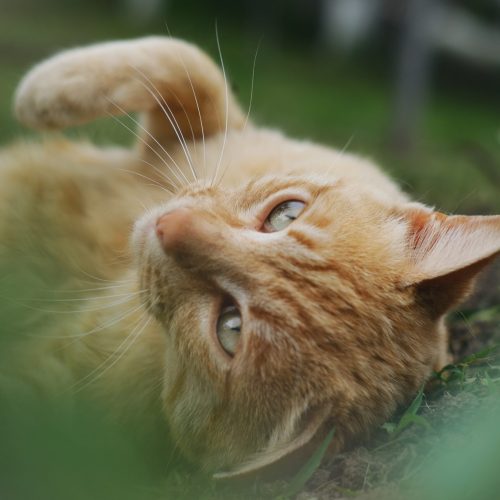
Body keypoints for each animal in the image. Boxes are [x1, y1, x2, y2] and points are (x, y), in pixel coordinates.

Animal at [0, 37, 500, 478]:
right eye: (285, 214)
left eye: (231, 327)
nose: (168, 225)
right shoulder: (213, 129)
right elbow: (185, 62)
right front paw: (44, 92)